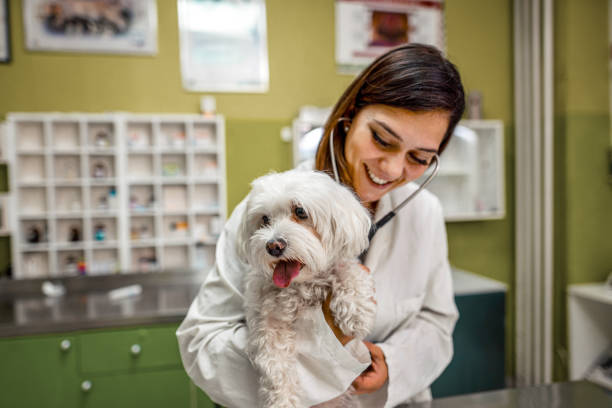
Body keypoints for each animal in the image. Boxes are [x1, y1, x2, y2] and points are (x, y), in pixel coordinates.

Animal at [239, 170, 378, 408]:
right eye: (264, 219)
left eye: (300, 211)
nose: (273, 246)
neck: (301, 286)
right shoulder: (268, 322)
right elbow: (276, 365)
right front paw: (282, 401)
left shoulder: (342, 266)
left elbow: (348, 271)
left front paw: (357, 311)